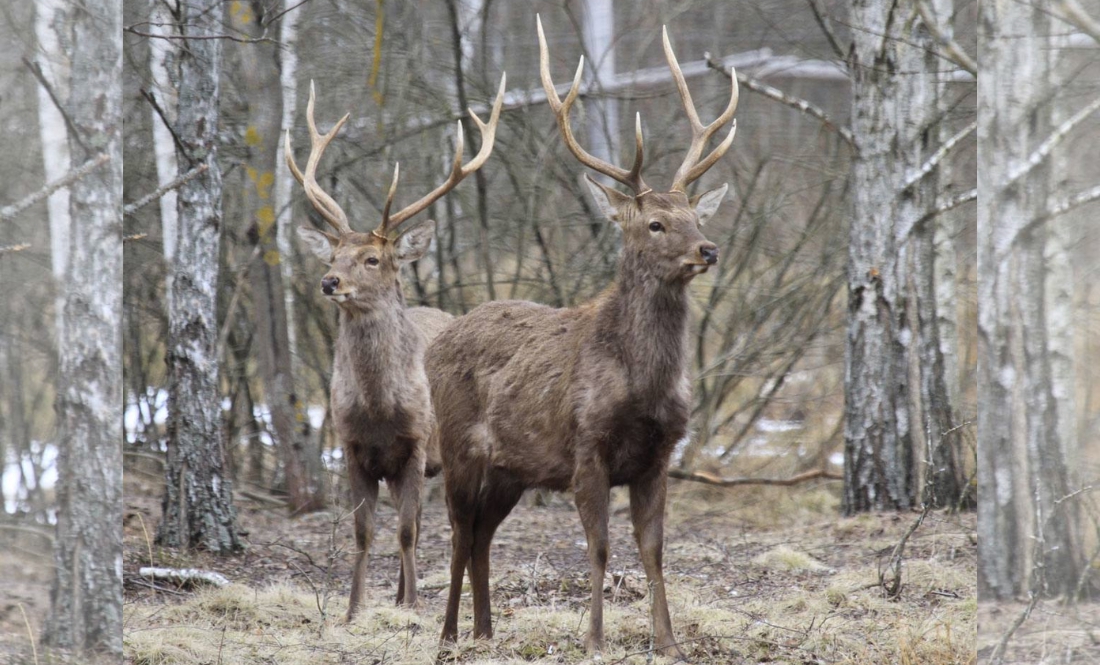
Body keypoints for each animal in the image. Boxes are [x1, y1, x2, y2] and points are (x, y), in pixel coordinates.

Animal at [286, 79, 503, 615]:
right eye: (334, 255)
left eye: (372, 259)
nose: (329, 281)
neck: (380, 410)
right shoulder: (350, 446)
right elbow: (364, 534)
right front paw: (353, 608)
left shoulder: (415, 445)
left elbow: (404, 532)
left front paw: (413, 607)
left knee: (436, 526)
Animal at [429, 18, 739, 655]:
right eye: (655, 223)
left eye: (696, 217)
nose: (709, 249)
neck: (642, 384)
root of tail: (434, 343)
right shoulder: (585, 449)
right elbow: (598, 549)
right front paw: (595, 639)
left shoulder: (659, 456)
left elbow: (654, 551)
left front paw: (668, 643)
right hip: (456, 444)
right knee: (456, 532)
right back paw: (448, 636)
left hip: (511, 469)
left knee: (481, 536)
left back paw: (486, 631)